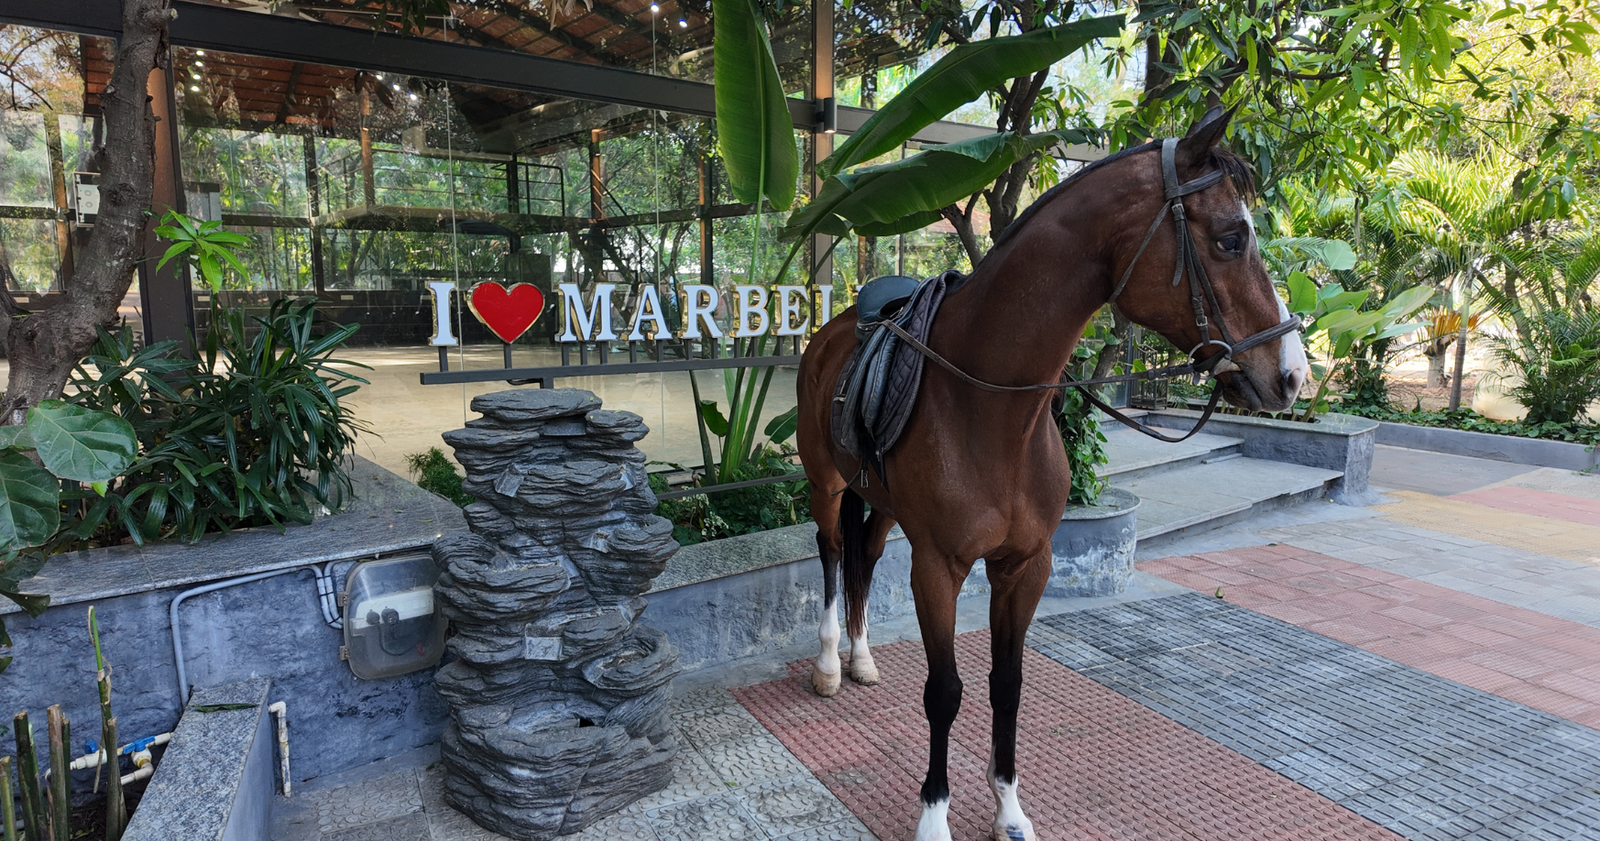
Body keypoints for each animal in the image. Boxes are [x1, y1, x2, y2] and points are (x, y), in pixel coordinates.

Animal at [794, 106, 1310, 841]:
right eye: (1231, 239)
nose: (1291, 375)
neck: (990, 408)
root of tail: (833, 330)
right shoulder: (938, 567)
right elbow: (944, 691)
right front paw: (934, 814)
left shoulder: (1026, 564)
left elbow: (1007, 685)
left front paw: (1008, 807)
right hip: (826, 484)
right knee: (835, 553)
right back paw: (829, 661)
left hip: (882, 501)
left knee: (863, 554)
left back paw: (862, 657)